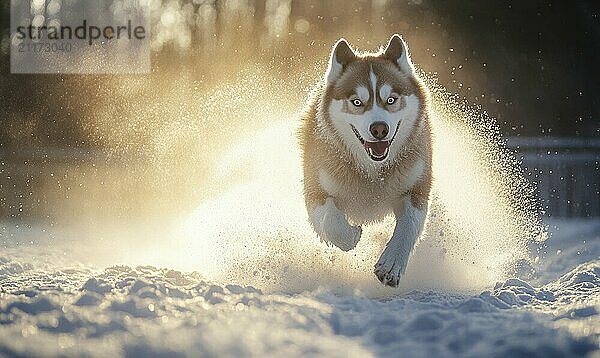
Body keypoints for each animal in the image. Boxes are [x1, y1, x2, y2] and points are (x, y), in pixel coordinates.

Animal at [300, 35, 432, 286]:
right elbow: (329, 220)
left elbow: (408, 226)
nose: (379, 129)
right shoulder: (316, 188)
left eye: (390, 99)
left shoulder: (416, 187)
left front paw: (391, 265)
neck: (373, 171)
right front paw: (352, 234)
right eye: (357, 102)